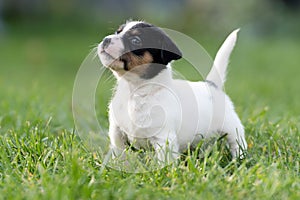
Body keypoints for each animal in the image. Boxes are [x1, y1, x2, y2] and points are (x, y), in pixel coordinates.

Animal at [97, 20, 247, 164]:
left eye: (135, 40)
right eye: (118, 32)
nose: (106, 39)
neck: (135, 93)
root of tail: (212, 85)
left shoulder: (163, 139)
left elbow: (163, 162)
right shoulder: (117, 134)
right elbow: (121, 156)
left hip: (231, 127)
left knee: (237, 142)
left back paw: (240, 159)